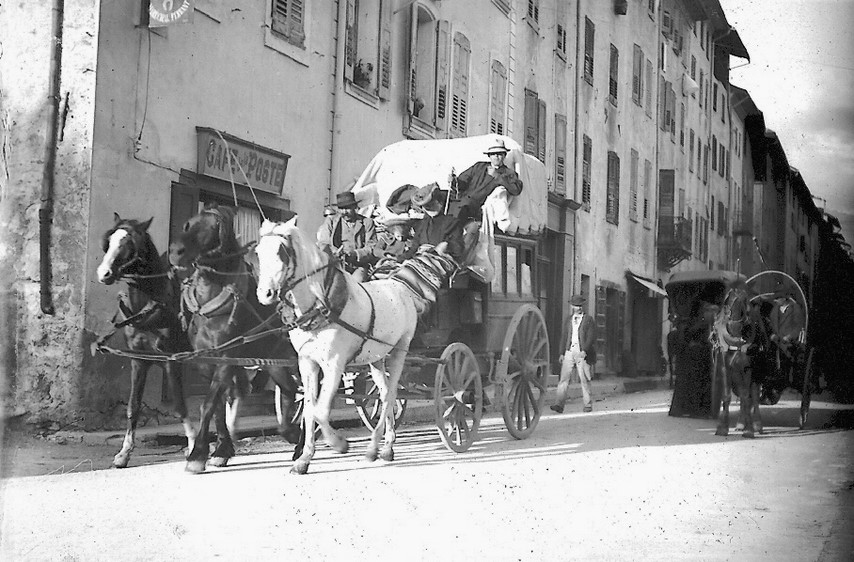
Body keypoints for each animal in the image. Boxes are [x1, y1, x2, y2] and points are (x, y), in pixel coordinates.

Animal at [96, 214, 194, 468]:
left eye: (131, 244)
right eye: (109, 241)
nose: (104, 273)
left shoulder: (171, 361)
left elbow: (180, 406)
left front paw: (193, 447)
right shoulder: (138, 361)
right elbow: (133, 407)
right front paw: (124, 453)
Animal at [168, 204, 301, 474]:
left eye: (213, 228)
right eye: (189, 224)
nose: (176, 252)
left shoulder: (227, 358)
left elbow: (208, 404)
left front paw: (197, 454)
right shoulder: (206, 362)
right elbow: (218, 405)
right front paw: (221, 450)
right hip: (275, 363)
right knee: (289, 391)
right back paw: (292, 434)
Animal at [254, 218, 457, 475]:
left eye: (281, 252)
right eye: (258, 252)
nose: (265, 294)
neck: (323, 305)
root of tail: (401, 287)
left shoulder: (334, 364)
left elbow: (321, 411)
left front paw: (339, 444)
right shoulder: (306, 362)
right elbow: (310, 410)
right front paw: (304, 459)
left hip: (399, 351)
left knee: (392, 394)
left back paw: (377, 448)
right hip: (377, 358)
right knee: (384, 394)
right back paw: (385, 445)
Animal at [712, 283, 762, 438]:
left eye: (746, 301)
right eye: (727, 301)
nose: (735, 325)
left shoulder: (747, 368)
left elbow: (747, 396)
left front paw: (749, 429)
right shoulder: (725, 367)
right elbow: (727, 396)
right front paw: (722, 427)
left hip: (757, 372)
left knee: (754, 396)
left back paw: (757, 424)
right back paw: (740, 423)